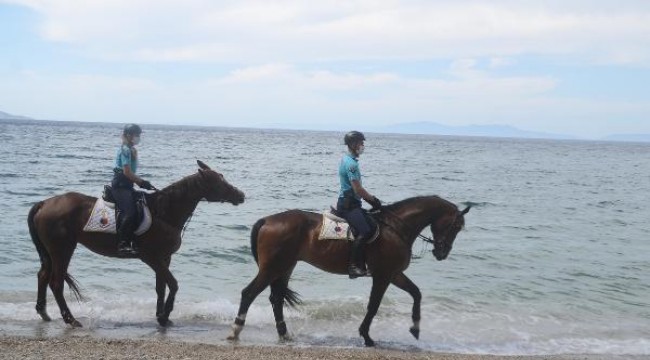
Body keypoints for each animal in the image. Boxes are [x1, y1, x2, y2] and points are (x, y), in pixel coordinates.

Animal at [26, 160, 246, 326]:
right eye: (218, 182)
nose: (241, 195)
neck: (164, 212)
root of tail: (44, 203)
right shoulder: (151, 257)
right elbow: (173, 284)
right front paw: (166, 314)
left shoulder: (164, 258)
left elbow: (161, 286)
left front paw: (161, 317)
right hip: (62, 250)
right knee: (55, 282)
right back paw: (70, 319)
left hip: (51, 252)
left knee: (43, 275)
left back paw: (44, 313)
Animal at [225, 195, 468, 348]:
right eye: (456, 226)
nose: (442, 252)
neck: (395, 228)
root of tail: (267, 220)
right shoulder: (383, 275)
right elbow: (373, 306)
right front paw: (366, 337)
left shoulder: (394, 274)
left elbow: (416, 293)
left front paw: (415, 327)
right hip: (272, 268)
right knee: (249, 293)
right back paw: (236, 330)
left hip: (284, 267)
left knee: (276, 299)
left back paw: (284, 334)